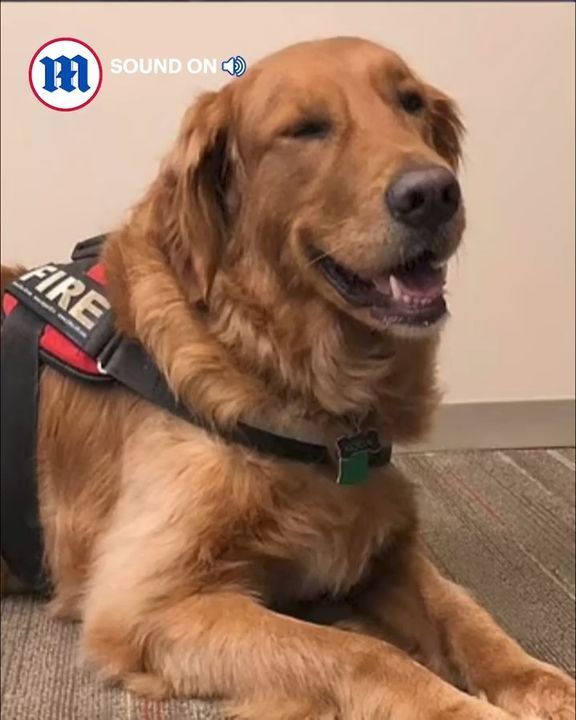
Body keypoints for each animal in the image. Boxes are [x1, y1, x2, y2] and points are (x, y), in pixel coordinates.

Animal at [0, 38, 572, 720]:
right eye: (305, 129)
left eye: (410, 103)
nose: (435, 193)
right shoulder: (145, 604)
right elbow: (364, 651)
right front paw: (459, 708)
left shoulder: (383, 541)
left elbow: (464, 611)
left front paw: (542, 684)